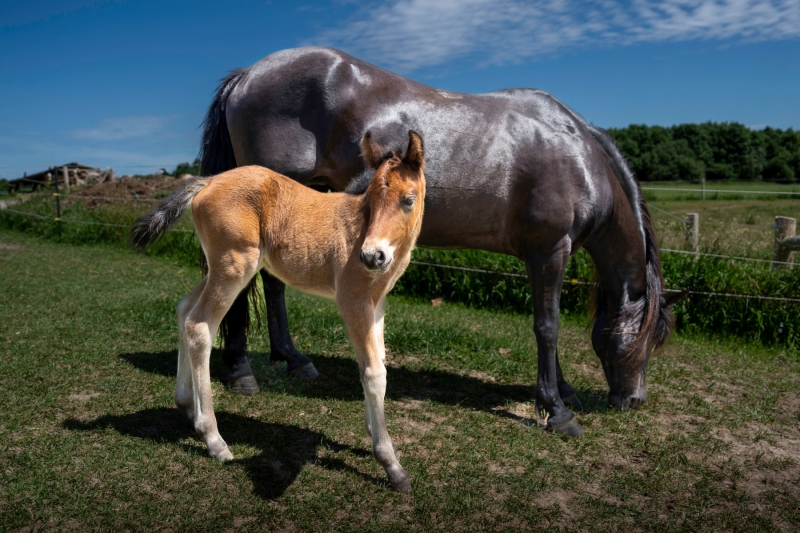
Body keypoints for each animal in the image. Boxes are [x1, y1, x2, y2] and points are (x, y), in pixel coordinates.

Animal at [130, 130, 427, 492]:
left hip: (223, 268)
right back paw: (214, 439)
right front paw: (390, 463)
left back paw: (186, 406)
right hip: (234, 266)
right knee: (199, 326)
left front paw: (374, 434)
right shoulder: (352, 300)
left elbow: (376, 361)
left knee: (184, 310)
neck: (362, 230)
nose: (372, 256)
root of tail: (208, 181)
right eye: (370, 200)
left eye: (408, 200)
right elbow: (373, 372)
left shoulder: (377, 302)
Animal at [201, 46, 681, 437]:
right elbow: (548, 327)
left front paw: (562, 390)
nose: (633, 401)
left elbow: (547, 325)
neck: (579, 155)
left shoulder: (540, 257)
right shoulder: (550, 250)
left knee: (272, 283)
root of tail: (248, 75)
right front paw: (557, 410)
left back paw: (291, 359)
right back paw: (241, 369)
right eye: (651, 337)